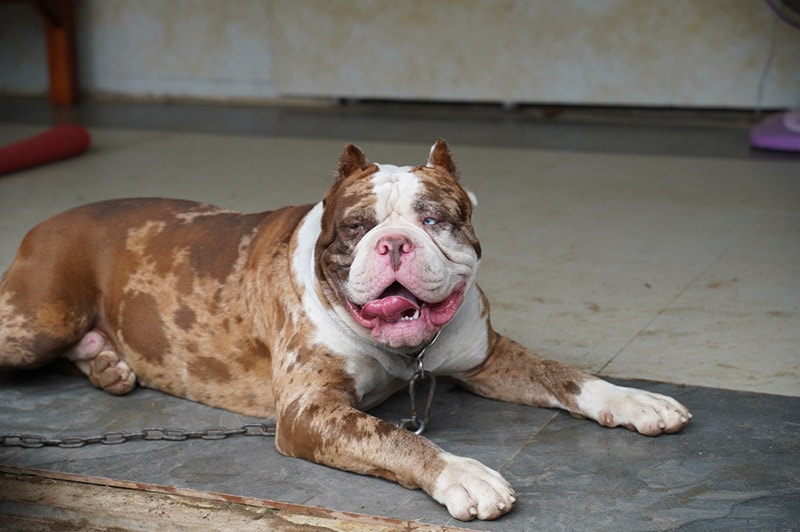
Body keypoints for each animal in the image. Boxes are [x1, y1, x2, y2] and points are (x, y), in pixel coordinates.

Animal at [0, 139, 688, 520]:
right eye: (357, 227)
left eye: (435, 219)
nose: (393, 242)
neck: (401, 354)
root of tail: (47, 221)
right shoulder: (312, 412)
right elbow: (397, 438)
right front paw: (461, 473)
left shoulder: (486, 358)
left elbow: (565, 376)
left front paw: (635, 400)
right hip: (36, 323)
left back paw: (108, 365)